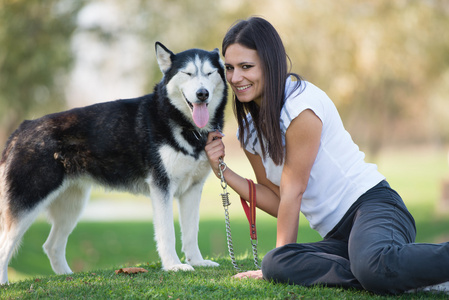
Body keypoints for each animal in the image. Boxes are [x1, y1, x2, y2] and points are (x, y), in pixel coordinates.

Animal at [0, 42, 228, 284]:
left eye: (209, 73)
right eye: (188, 73)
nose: (202, 94)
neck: (183, 124)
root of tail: (22, 128)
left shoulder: (192, 189)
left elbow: (192, 232)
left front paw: (197, 261)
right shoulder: (161, 187)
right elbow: (167, 233)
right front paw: (173, 265)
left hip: (72, 205)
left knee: (51, 246)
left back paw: (68, 277)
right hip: (29, 202)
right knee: (5, 247)